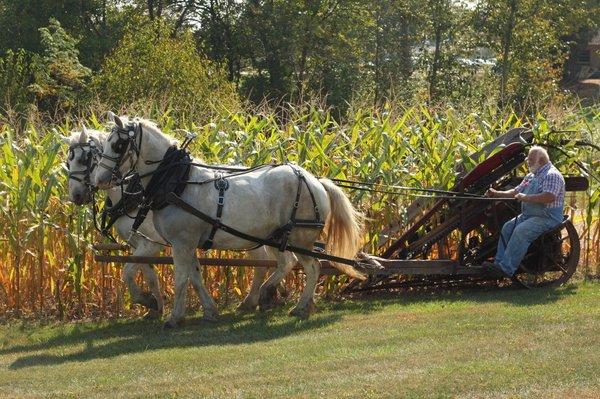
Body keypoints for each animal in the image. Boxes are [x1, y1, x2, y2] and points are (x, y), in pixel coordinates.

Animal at [65, 127, 278, 318]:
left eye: (83, 159)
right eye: (68, 162)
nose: (76, 196)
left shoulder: (153, 244)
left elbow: (128, 271)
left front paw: (147, 301)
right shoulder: (141, 245)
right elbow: (150, 276)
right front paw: (155, 306)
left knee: (263, 262)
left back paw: (255, 299)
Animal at [94, 113, 366, 328]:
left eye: (118, 144)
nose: (99, 179)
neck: (177, 181)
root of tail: (314, 180)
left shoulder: (181, 243)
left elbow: (181, 278)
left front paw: (174, 317)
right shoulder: (187, 244)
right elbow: (195, 275)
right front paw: (209, 311)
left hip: (301, 238)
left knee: (313, 268)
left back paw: (298, 306)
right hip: (278, 237)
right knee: (288, 264)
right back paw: (271, 297)